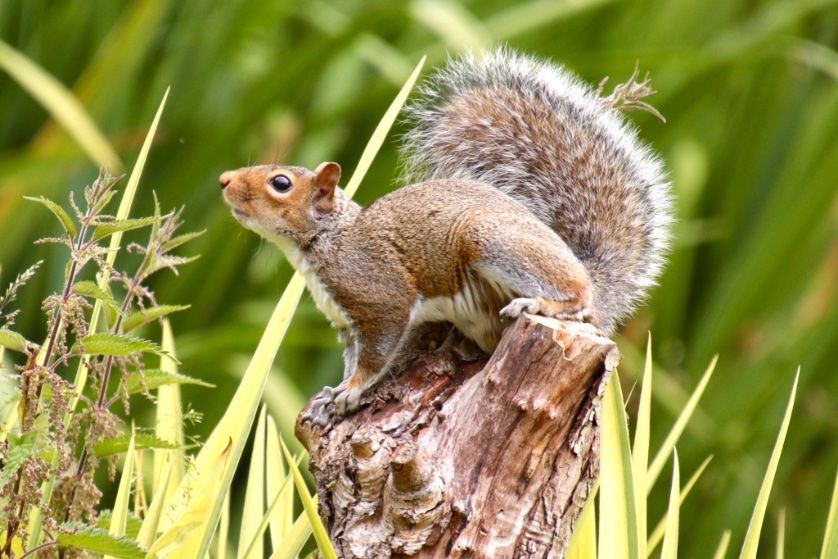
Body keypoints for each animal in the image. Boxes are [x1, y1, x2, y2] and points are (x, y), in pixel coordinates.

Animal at [219, 48, 673, 418]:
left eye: (280, 183)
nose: (223, 180)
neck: (329, 239)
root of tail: (583, 267)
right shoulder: (347, 323)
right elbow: (352, 358)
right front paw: (330, 396)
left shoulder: (380, 296)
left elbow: (376, 355)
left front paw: (351, 391)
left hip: (491, 239)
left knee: (577, 295)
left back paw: (543, 304)